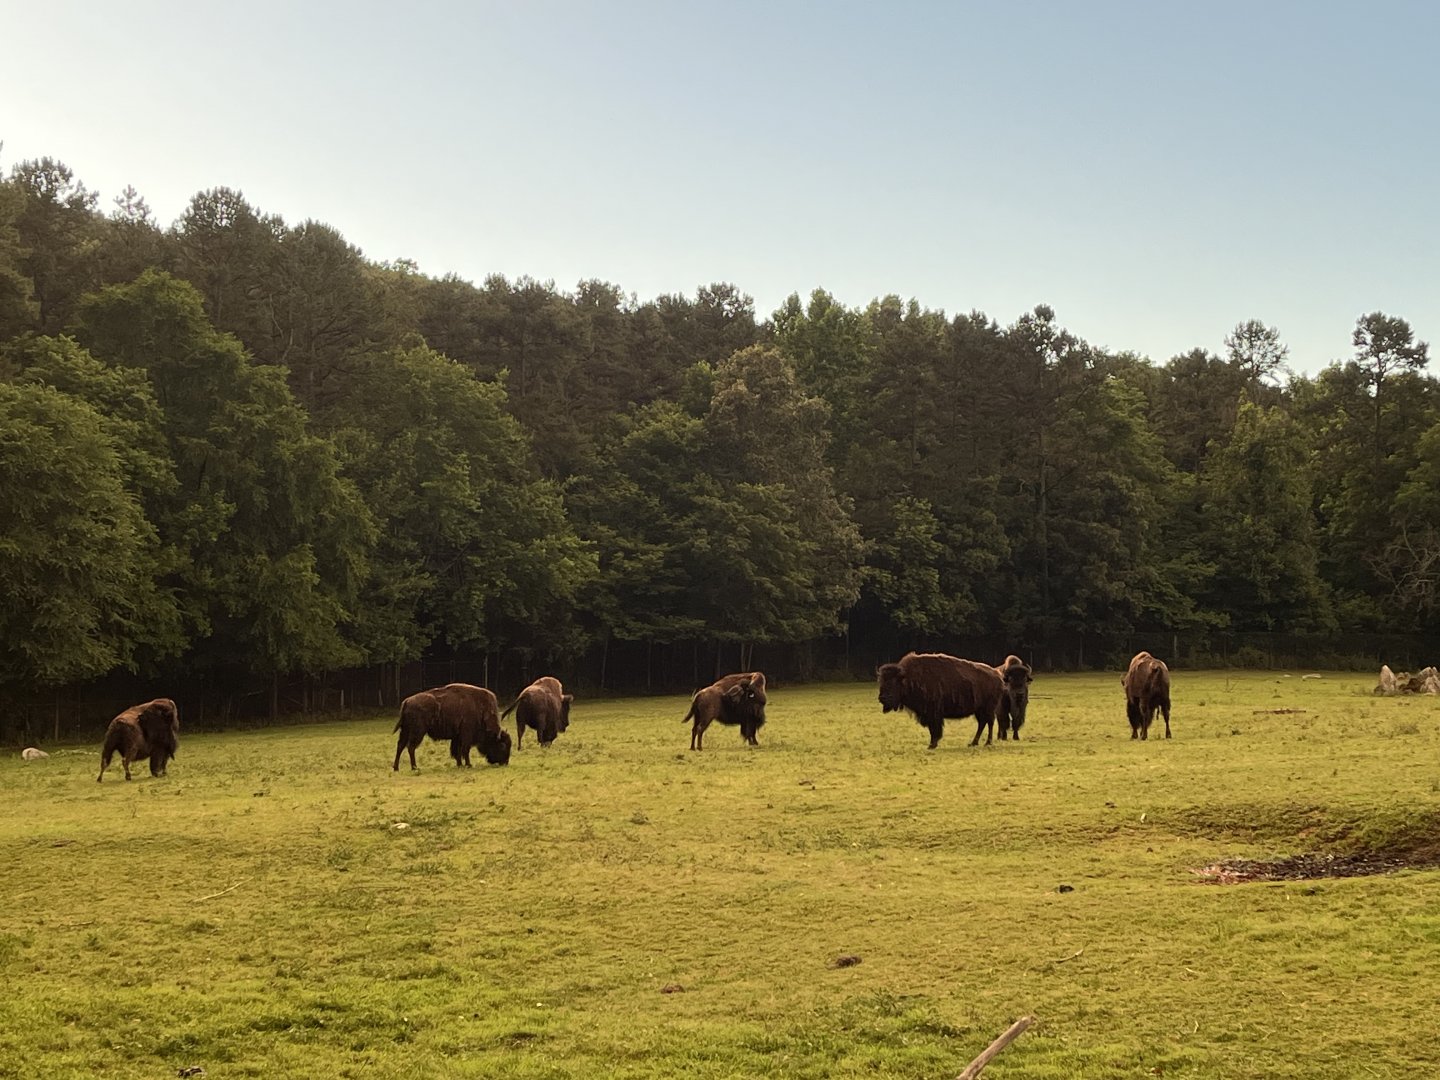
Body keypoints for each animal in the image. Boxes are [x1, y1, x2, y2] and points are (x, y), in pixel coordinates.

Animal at [876, 652, 1005, 749]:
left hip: (988, 709)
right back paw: (973, 743)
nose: (882, 698)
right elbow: (932, 729)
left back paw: (987, 742)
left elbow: (934, 729)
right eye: (881, 682)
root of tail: (997, 675)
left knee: (989, 722)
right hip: (979, 710)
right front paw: (932, 744)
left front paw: (932, 745)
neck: (909, 678)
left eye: (893, 682)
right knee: (982, 723)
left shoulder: (933, 713)